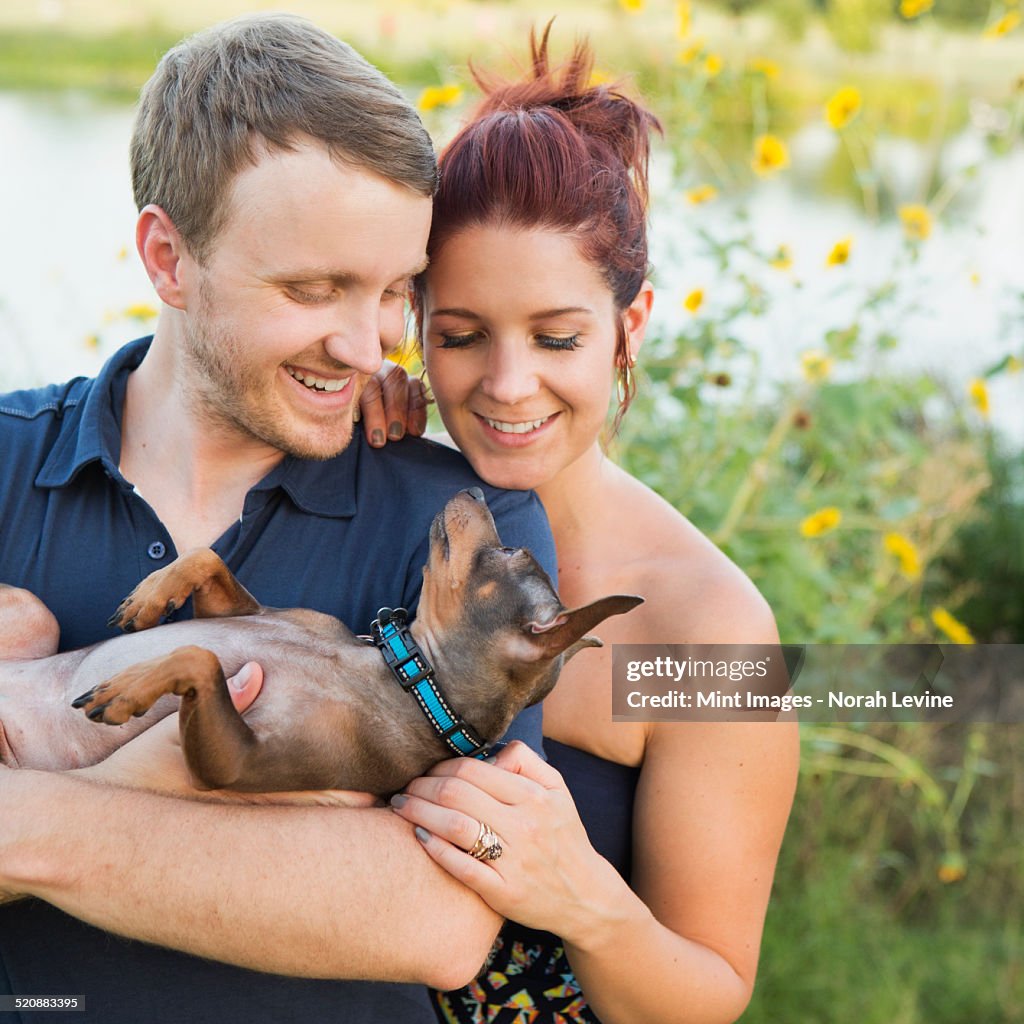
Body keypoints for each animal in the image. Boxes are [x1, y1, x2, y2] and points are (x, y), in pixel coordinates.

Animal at [0, 491, 638, 794]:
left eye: (509, 551)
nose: (477, 488)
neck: (408, 676)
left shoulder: (237, 763)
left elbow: (200, 658)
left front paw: (127, 688)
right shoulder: (253, 612)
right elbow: (206, 560)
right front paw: (153, 595)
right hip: (32, 612)